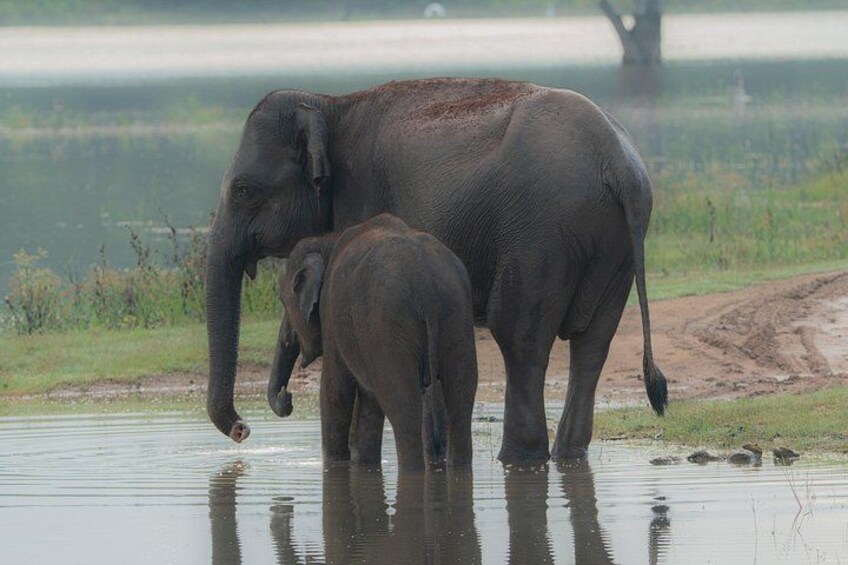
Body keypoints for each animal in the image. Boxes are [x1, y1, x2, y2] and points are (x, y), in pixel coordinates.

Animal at [272, 214, 477, 470]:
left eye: (283, 300)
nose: (287, 398)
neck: (327, 241)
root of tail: (424, 281)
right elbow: (368, 400)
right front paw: (363, 466)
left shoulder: (332, 313)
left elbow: (335, 392)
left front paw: (335, 466)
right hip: (456, 314)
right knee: (461, 401)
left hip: (388, 324)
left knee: (404, 410)